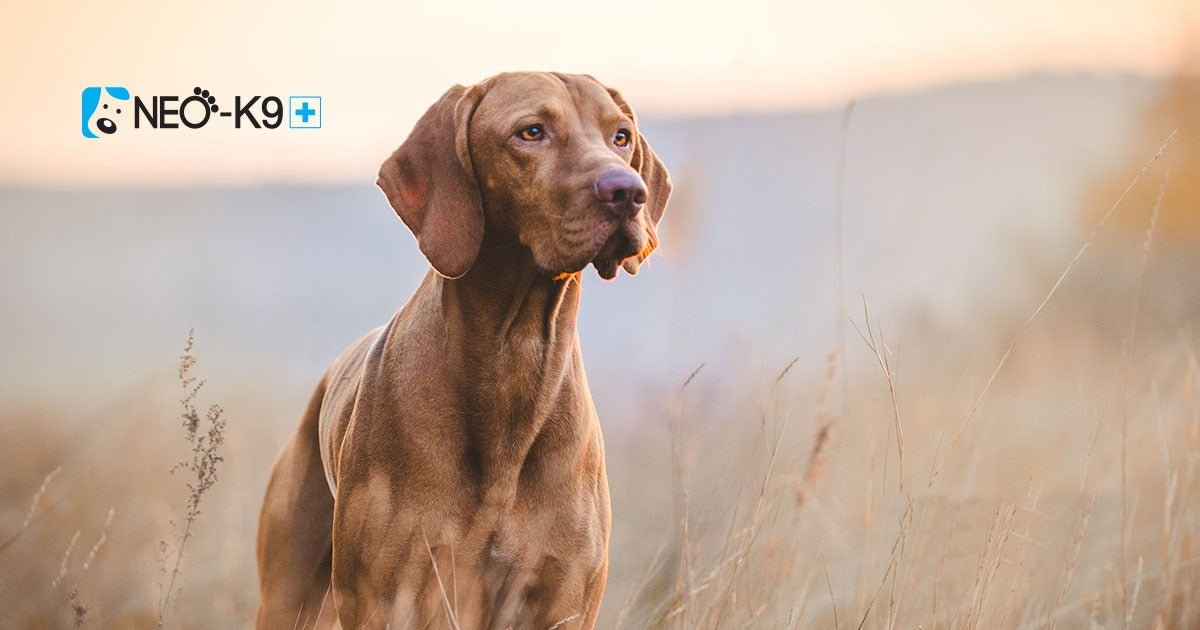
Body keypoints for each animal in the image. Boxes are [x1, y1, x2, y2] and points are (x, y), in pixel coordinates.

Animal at [254, 71, 672, 624]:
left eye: (621, 136)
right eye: (531, 131)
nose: (628, 192)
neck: (513, 358)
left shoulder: (564, 601)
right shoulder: (385, 598)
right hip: (289, 596)